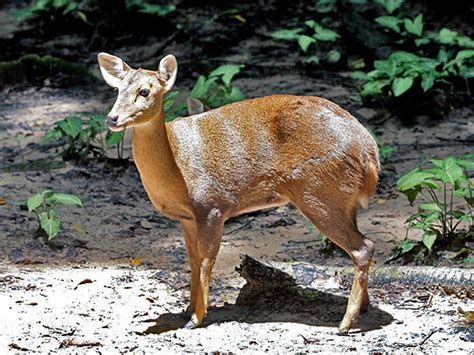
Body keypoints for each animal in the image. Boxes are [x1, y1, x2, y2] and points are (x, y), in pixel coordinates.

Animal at [97, 52, 382, 334]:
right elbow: (192, 259)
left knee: (363, 247)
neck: (177, 166)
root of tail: (369, 152)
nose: (112, 118)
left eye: (144, 91)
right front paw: (187, 310)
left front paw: (196, 318)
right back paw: (362, 309)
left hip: (318, 192)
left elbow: (207, 260)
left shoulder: (212, 205)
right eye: (118, 89)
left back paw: (345, 324)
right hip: (340, 199)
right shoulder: (187, 217)